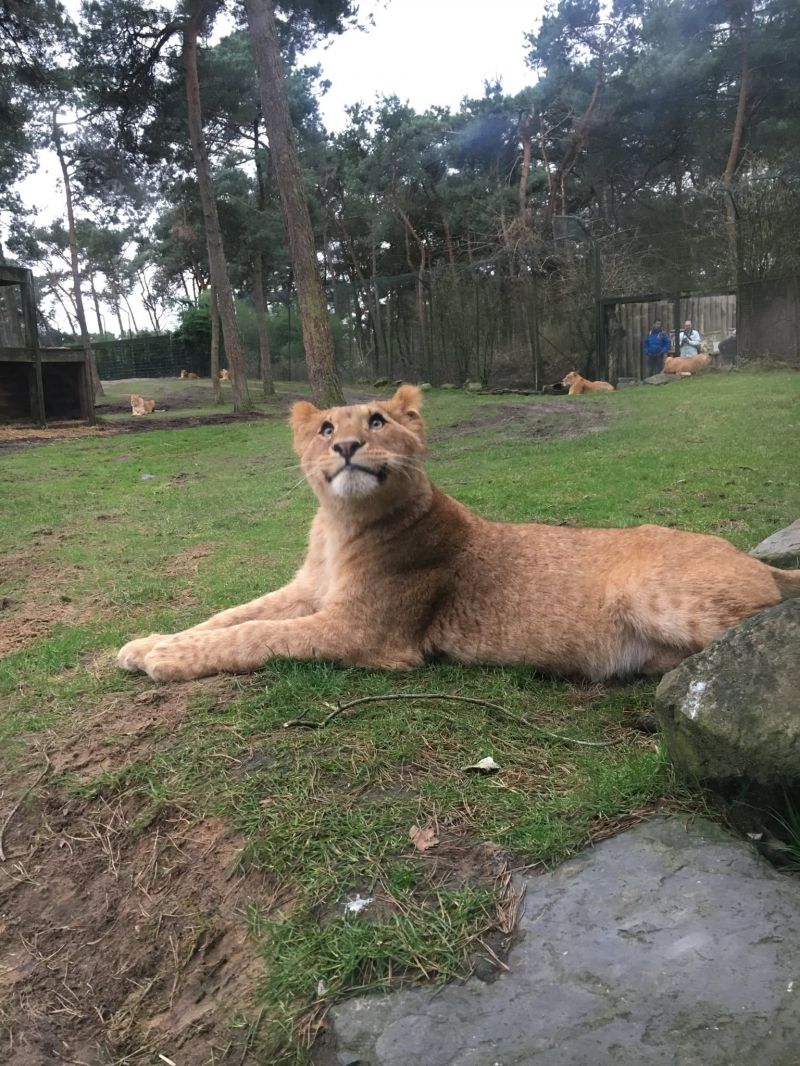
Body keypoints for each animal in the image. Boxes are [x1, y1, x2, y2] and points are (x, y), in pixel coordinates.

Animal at [117, 385, 800, 683]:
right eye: (324, 429)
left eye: (377, 421)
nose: (346, 446)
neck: (339, 525)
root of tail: (751, 559)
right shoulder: (307, 591)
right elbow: (232, 614)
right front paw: (145, 643)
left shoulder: (365, 631)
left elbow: (259, 635)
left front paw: (165, 658)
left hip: (656, 594)